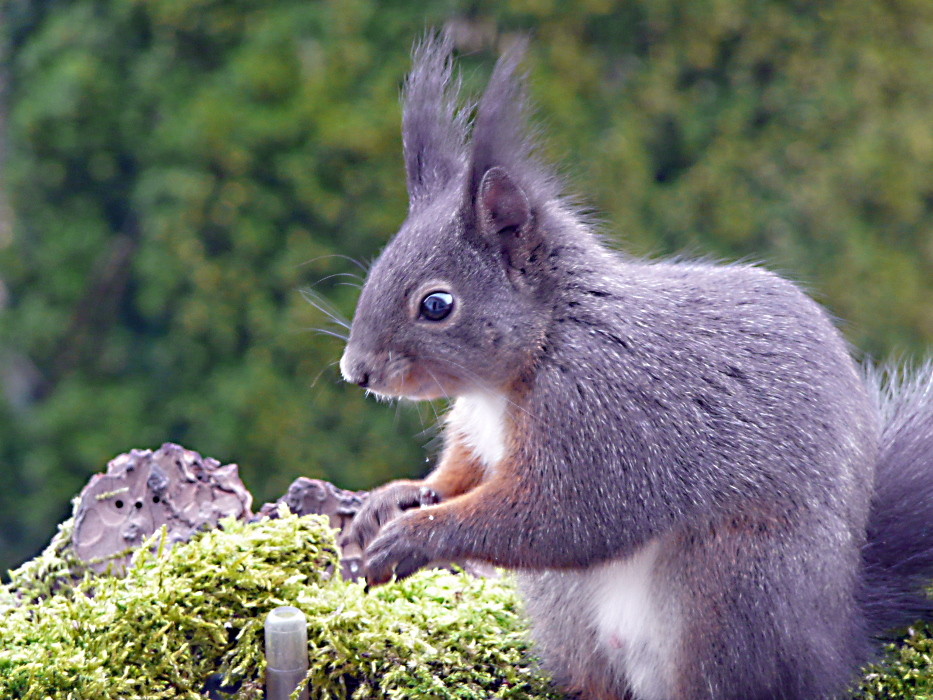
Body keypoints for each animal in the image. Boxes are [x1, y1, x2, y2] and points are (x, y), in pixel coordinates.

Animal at [338, 34, 932, 700]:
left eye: (436, 305)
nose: (355, 371)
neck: (531, 358)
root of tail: (834, 642)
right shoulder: (479, 431)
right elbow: (460, 475)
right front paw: (391, 501)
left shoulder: (601, 416)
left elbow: (559, 515)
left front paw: (416, 536)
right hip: (574, 615)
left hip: (730, 592)